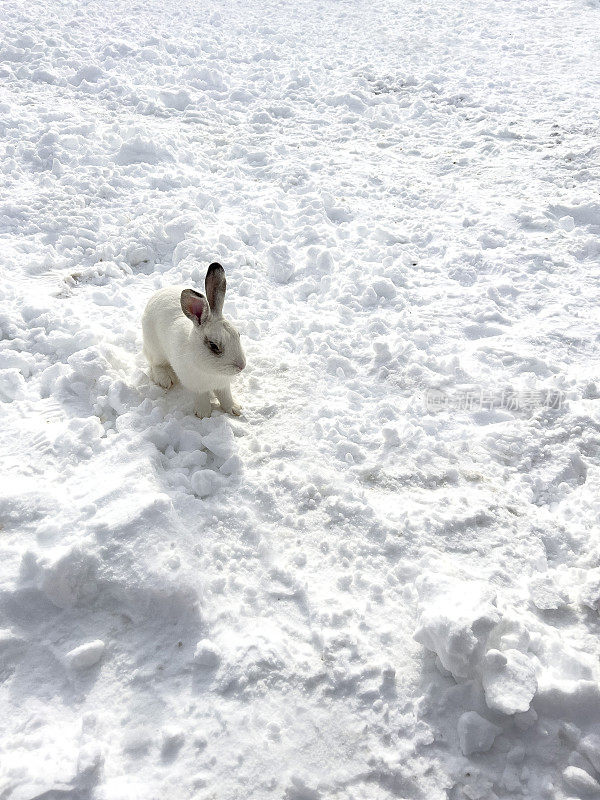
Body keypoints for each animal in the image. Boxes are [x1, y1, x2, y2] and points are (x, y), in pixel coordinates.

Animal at [143, 262, 246, 418]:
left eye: (238, 334)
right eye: (214, 346)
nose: (242, 366)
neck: (211, 372)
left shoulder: (223, 385)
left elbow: (226, 397)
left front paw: (235, 410)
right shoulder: (197, 386)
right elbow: (202, 397)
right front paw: (204, 414)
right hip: (155, 349)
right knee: (155, 364)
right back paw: (165, 379)